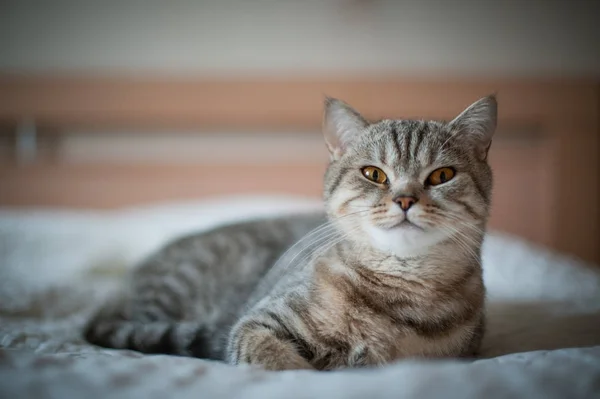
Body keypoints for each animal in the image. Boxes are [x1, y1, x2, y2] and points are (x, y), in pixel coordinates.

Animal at [84, 94, 496, 372]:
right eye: (374, 174)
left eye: (442, 175)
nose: (405, 199)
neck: (401, 297)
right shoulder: (257, 324)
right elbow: (277, 361)